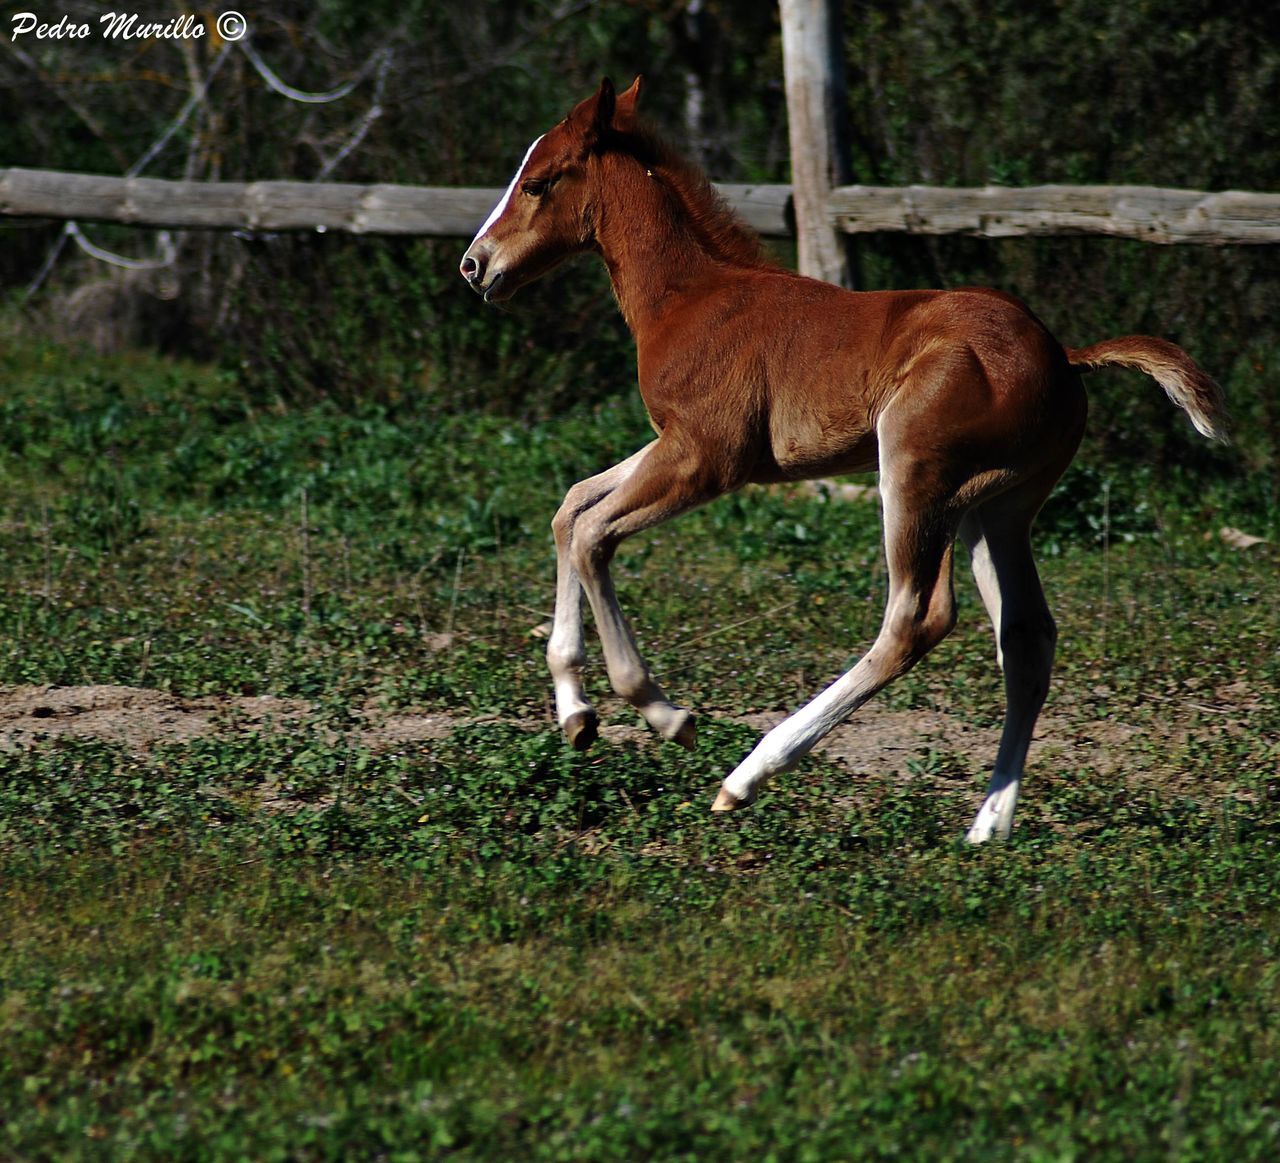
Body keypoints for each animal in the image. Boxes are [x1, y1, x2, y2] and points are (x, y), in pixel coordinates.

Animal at [463, 77, 1228, 839]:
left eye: (537, 182)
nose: (475, 264)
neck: (691, 298)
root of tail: (1065, 356)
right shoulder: (673, 446)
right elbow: (570, 506)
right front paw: (576, 713)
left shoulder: (707, 457)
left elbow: (592, 534)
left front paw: (663, 712)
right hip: (998, 506)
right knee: (1026, 637)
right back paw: (987, 827)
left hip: (916, 474)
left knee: (917, 619)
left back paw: (749, 774)